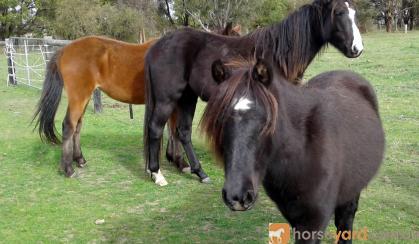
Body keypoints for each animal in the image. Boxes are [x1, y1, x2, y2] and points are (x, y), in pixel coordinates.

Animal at [33, 23, 241, 178]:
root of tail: (65, 50)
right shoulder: (172, 101)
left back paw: (80, 160)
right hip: (79, 97)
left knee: (77, 126)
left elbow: (172, 130)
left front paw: (174, 159)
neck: (189, 54)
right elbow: (174, 131)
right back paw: (68, 169)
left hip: (84, 98)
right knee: (69, 126)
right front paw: (180, 162)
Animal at [144, 0, 364, 185]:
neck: (277, 54)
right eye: (339, 13)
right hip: (167, 99)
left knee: (183, 132)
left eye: (354, 13)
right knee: (155, 128)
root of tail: (157, 46)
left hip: (187, 97)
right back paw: (157, 174)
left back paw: (200, 173)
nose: (357, 49)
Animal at [202, 58, 386, 243]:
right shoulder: (293, 215)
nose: (236, 196)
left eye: (267, 122)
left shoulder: (314, 221)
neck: (302, 153)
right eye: (218, 121)